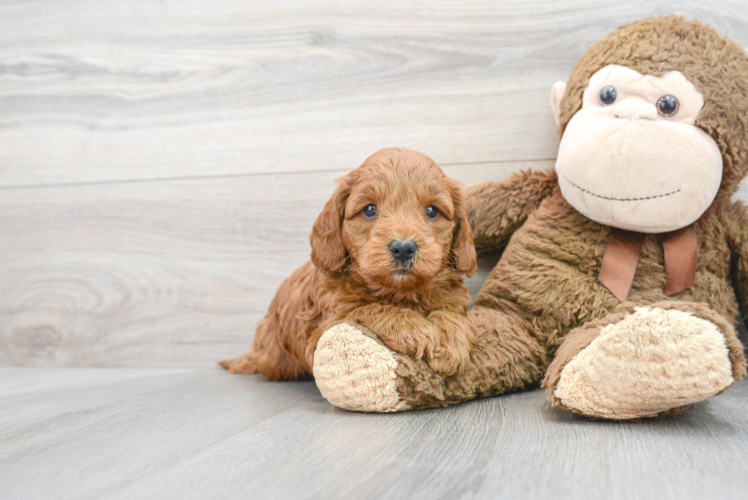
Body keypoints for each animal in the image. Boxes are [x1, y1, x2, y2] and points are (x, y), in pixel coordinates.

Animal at [222, 146, 476, 380]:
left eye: (432, 211)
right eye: (370, 209)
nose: (403, 248)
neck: (399, 293)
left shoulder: (453, 298)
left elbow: (453, 314)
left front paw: (450, 344)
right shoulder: (327, 325)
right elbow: (367, 308)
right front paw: (416, 328)